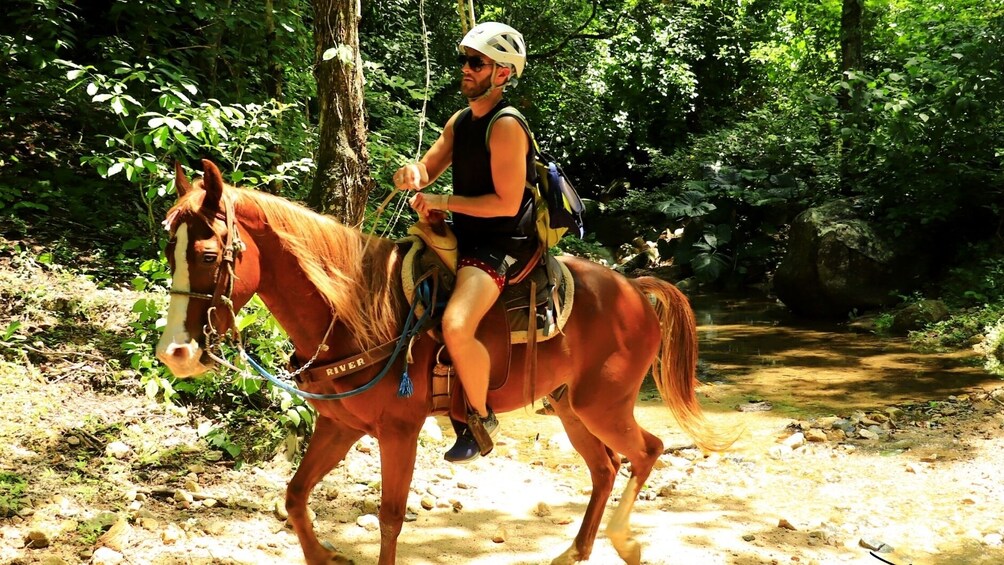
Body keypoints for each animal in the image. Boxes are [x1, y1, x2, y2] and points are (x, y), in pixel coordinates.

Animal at [154, 159, 730, 565]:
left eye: (208, 255)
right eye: (167, 252)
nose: (175, 353)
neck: (354, 310)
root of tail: (636, 288)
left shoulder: (398, 431)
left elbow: (389, 518)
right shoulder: (340, 426)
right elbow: (295, 496)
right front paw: (326, 556)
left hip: (602, 405)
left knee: (648, 450)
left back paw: (622, 542)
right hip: (571, 408)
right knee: (606, 467)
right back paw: (576, 550)